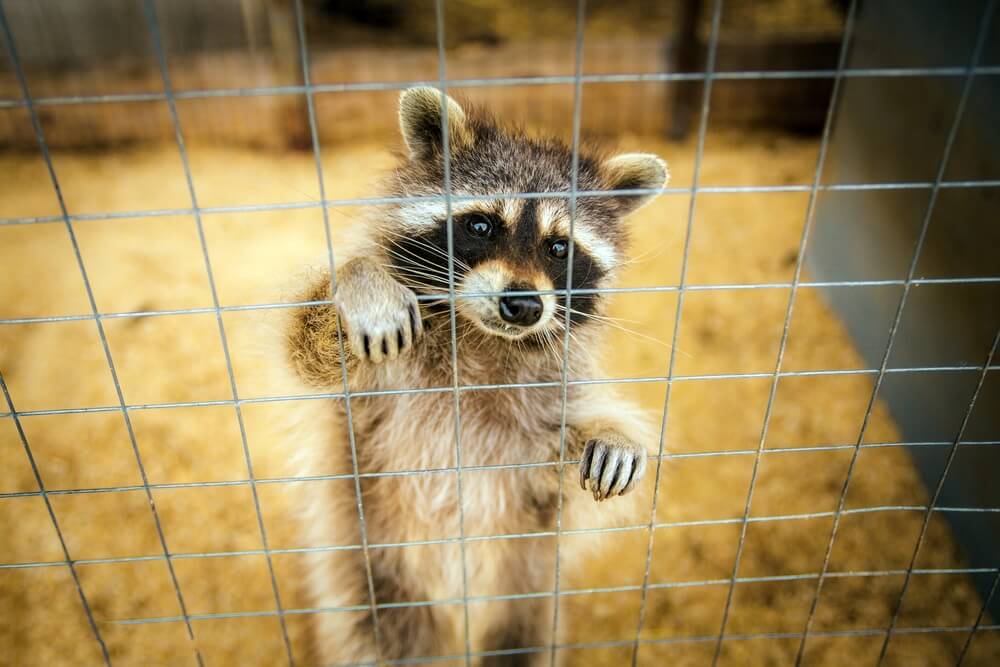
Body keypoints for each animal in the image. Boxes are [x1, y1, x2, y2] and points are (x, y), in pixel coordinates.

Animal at [281, 87, 668, 665]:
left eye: (559, 247)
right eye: (482, 225)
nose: (524, 306)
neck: (481, 341)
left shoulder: (542, 412)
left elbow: (560, 470)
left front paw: (610, 433)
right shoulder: (371, 390)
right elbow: (304, 348)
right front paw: (362, 281)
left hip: (524, 589)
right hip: (373, 575)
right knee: (377, 640)